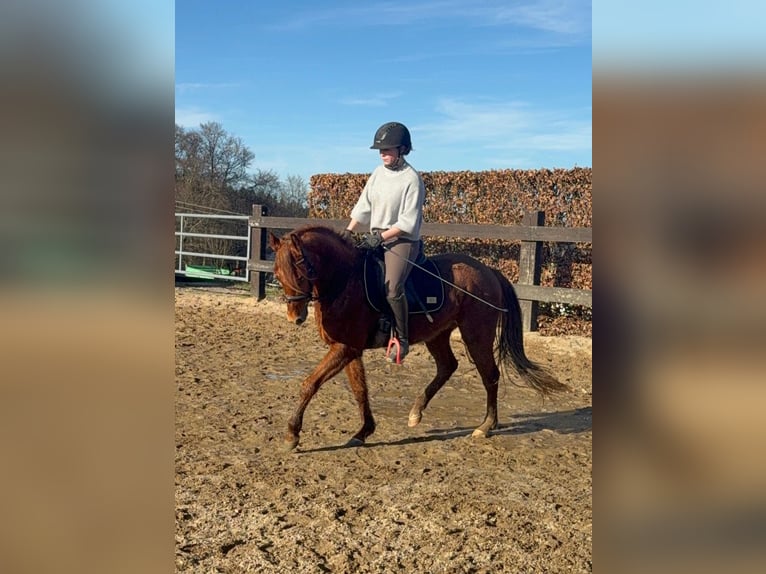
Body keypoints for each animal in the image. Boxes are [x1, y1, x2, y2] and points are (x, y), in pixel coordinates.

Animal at [267, 224, 569, 450]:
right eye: (277, 273)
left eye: (300, 270)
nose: (295, 317)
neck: (345, 280)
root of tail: (488, 271)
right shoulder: (349, 349)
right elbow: (360, 390)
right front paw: (363, 431)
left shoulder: (345, 348)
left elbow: (309, 383)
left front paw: (292, 434)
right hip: (437, 335)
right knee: (448, 366)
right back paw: (416, 412)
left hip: (476, 335)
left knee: (490, 375)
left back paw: (485, 426)